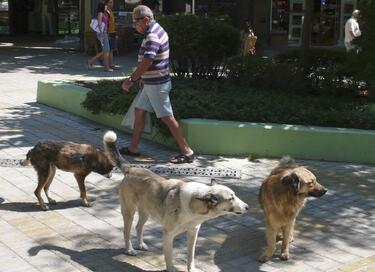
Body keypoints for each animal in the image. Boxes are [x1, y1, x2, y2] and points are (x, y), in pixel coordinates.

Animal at [103, 131, 250, 270]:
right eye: (231, 198)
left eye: (235, 195)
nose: (247, 207)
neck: (194, 205)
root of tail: (131, 168)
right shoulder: (168, 234)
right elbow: (169, 256)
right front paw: (171, 268)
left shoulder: (193, 233)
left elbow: (191, 255)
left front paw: (192, 269)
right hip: (129, 211)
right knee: (126, 231)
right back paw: (130, 249)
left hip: (146, 211)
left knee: (138, 227)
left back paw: (140, 244)